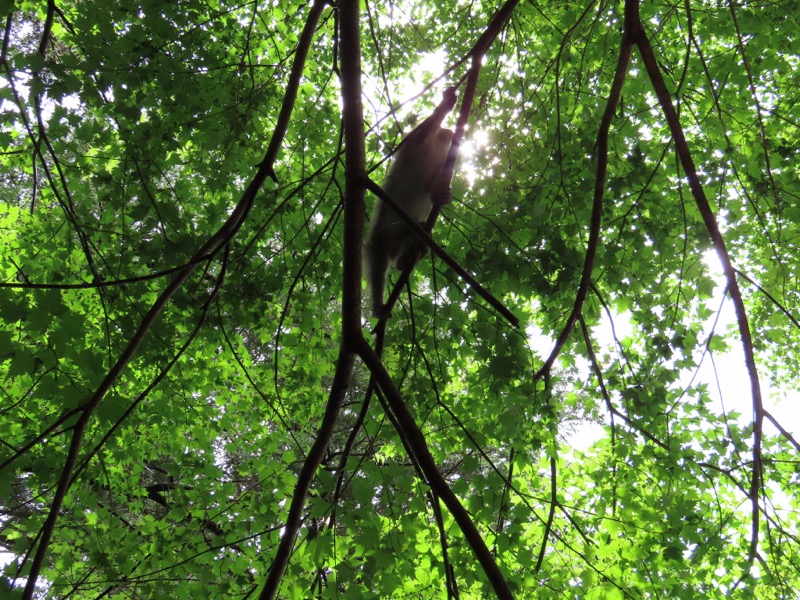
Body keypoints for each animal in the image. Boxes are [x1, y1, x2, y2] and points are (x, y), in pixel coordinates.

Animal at [364, 88, 456, 318]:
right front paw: (444, 105)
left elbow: (431, 189)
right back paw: (378, 305)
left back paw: (407, 258)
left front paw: (441, 195)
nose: (449, 132)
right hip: (378, 240)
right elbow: (423, 131)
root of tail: (392, 248)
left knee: (420, 229)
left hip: (402, 236)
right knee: (378, 269)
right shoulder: (413, 143)